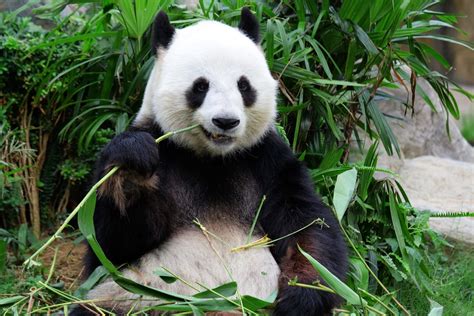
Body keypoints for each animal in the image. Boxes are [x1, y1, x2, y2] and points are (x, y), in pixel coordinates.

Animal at [75, 8, 348, 316]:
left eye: (244, 85)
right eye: (200, 86)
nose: (225, 121)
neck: (212, 159)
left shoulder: (267, 160)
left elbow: (306, 226)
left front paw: (300, 296)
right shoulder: (163, 147)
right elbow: (111, 246)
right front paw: (133, 164)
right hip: (135, 298)